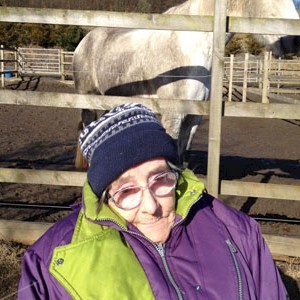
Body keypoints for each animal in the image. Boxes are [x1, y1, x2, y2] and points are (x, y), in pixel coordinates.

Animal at [73, 0, 300, 166]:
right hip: (88, 102)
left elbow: (182, 159)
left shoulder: (193, 118)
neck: (190, 51)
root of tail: (85, 41)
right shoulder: (173, 115)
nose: (295, 40)